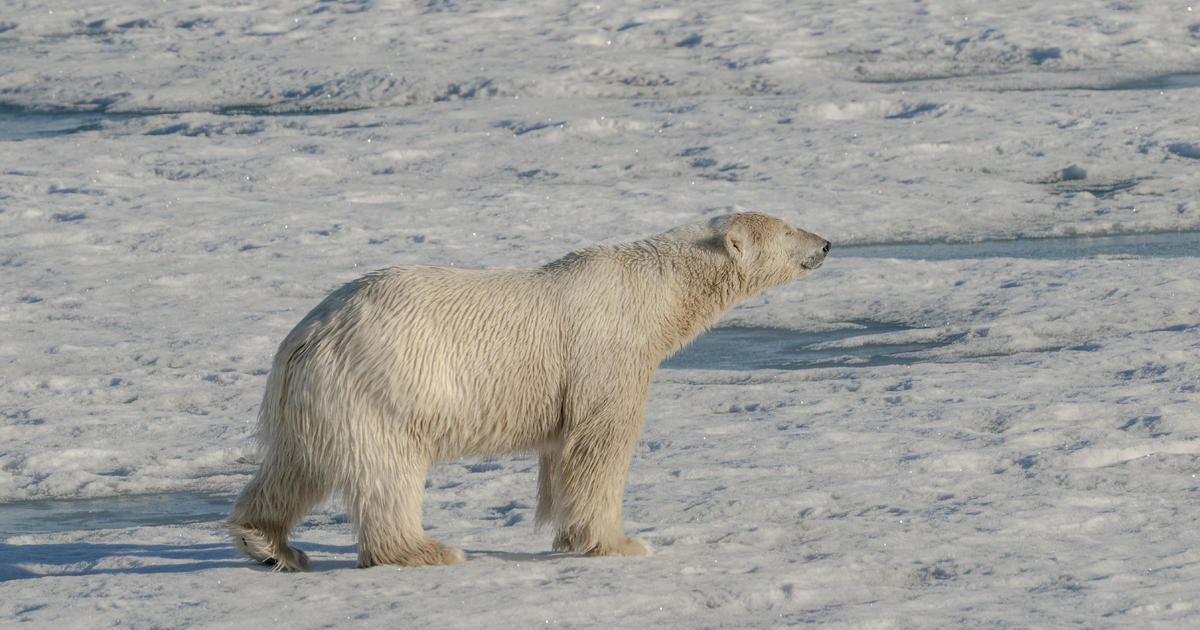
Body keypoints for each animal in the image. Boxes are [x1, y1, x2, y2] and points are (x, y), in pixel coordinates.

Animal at [225, 212, 830, 568]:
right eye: (787, 230)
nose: (826, 243)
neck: (655, 293)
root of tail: (305, 337)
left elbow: (564, 453)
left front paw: (570, 535)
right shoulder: (606, 353)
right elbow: (602, 443)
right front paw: (621, 542)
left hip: (316, 398)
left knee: (294, 468)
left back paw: (269, 544)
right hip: (381, 386)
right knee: (386, 473)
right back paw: (426, 549)